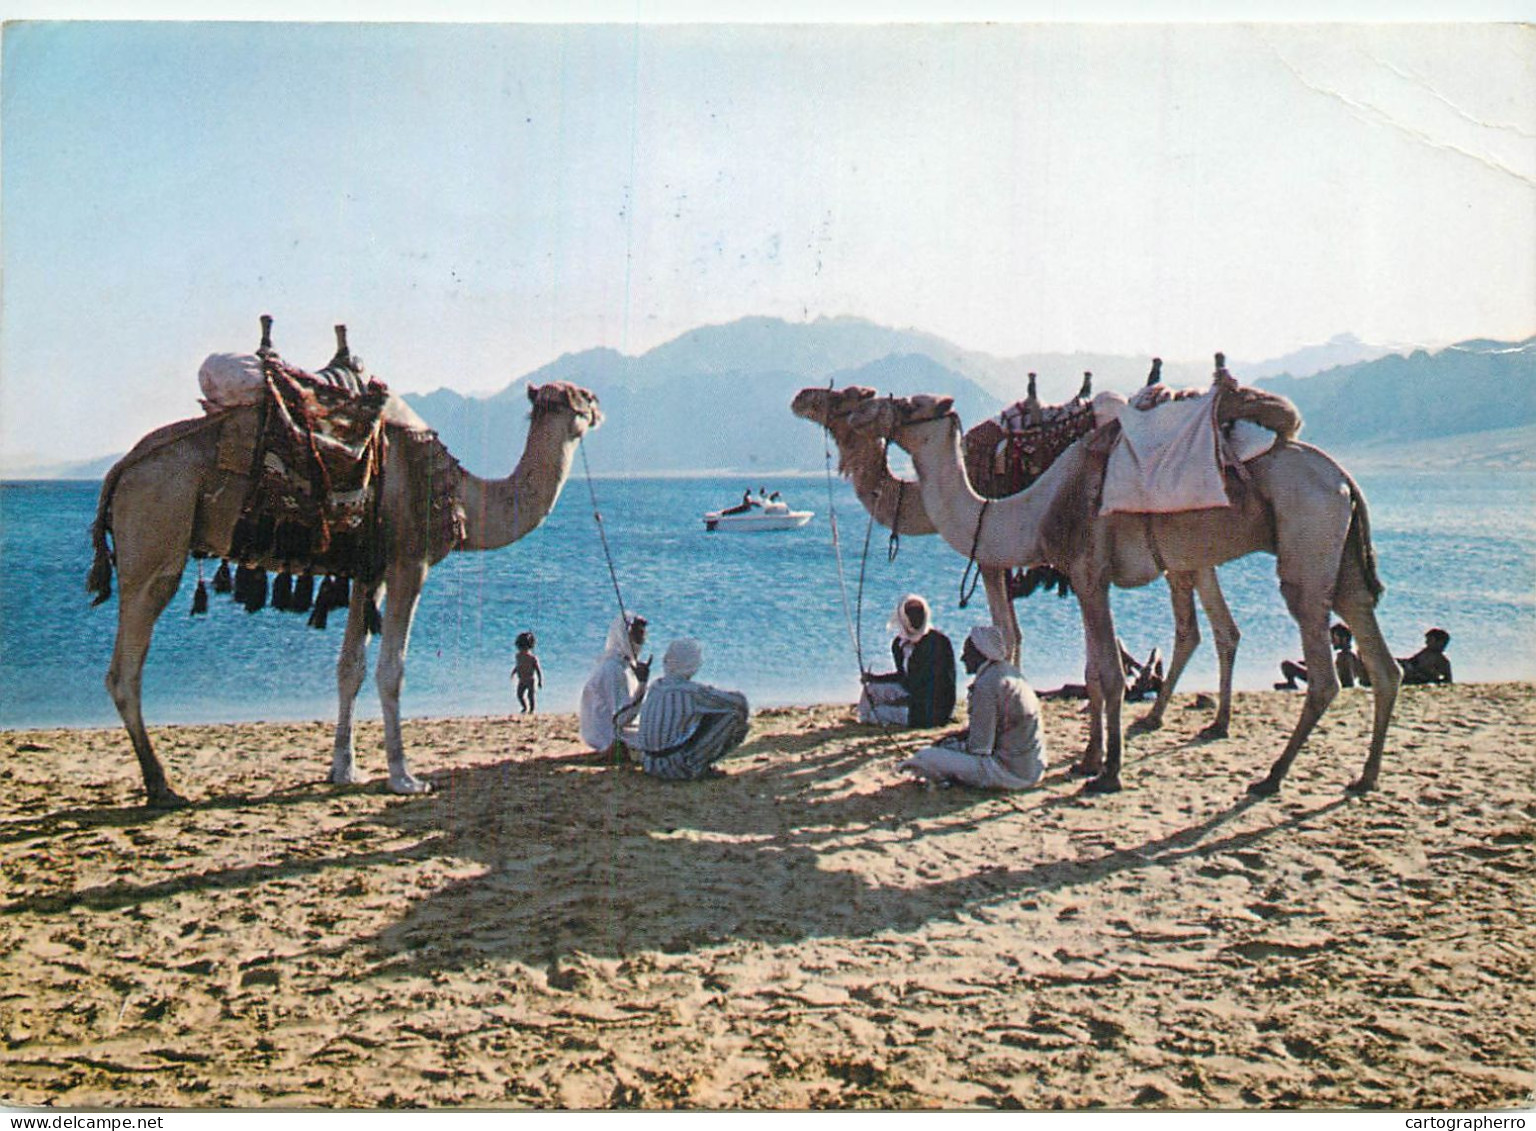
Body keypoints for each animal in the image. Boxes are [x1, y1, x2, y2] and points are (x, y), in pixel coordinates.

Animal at [87, 362, 605, 805]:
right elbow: (391, 669)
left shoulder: (366, 574)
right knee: (125, 671)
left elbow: (349, 667)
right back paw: (161, 786)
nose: (598, 405)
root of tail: (123, 467)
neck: (460, 496)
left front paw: (343, 769)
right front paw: (404, 777)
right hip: (156, 539)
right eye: (580, 396)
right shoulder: (408, 563)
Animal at [786, 387, 1241, 749]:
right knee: (1213, 630)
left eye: (845, 397)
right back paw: (1195, 720)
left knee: (1196, 628)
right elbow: (1017, 635)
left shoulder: (991, 558)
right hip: (1192, 553)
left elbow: (1009, 634)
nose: (802, 397)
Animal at [835, 393, 1400, 799]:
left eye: (911, 405)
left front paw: (1108, 772)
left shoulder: (1088, 573)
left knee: (1323, 673)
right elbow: (1093, 672)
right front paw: (1089, 758)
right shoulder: (1089, 581)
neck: (1035, 507)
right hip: (1338, 565)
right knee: (1380, 661)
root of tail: (1344, 479)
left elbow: (1106, 673)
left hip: (1305, 548)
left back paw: (1272, 776)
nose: (863, 411)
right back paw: (1364, 777)